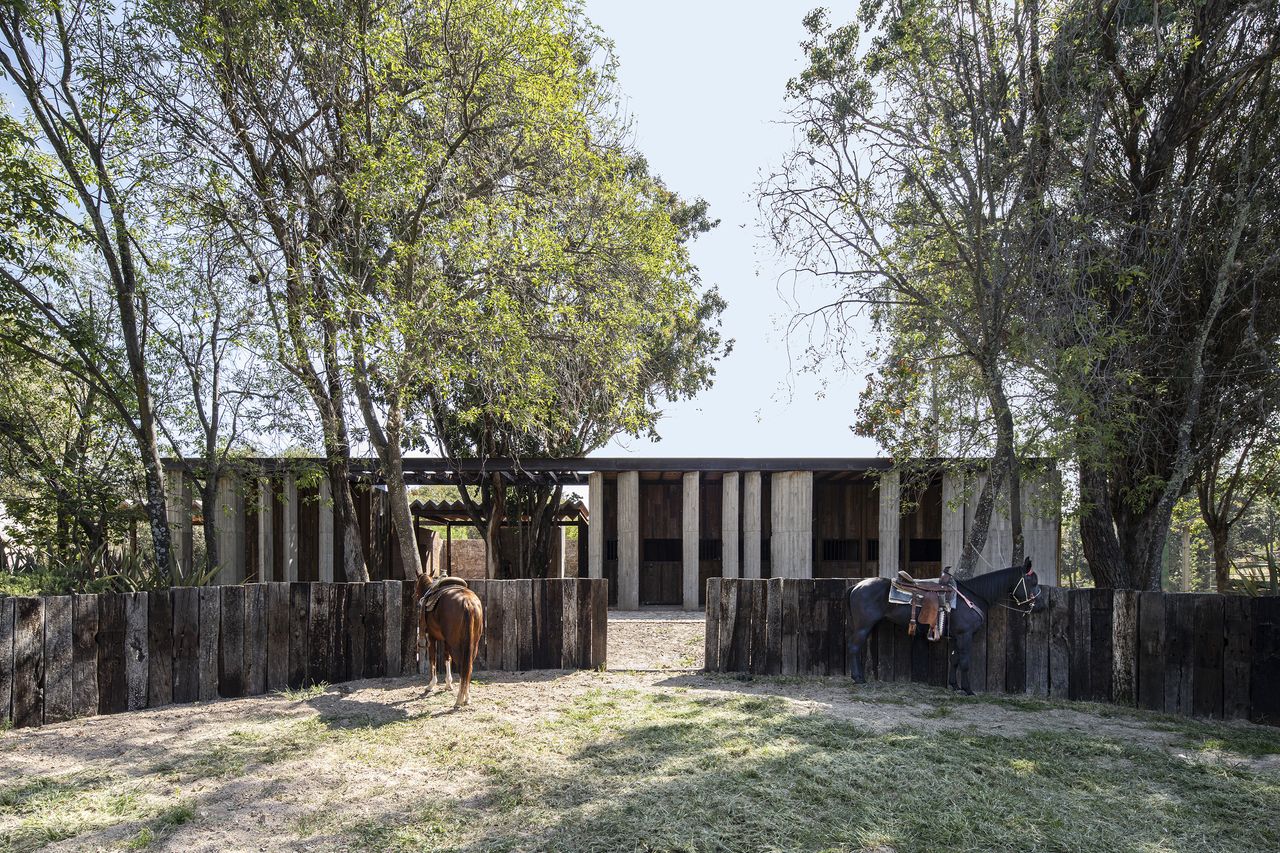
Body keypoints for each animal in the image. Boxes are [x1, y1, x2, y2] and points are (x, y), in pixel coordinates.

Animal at [414, 573, 483, 706]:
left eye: (417, 586)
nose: (415, 596)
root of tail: (467, 602)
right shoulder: (446, 641)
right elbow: (447, 658)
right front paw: (448, 684)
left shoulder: (432, 637)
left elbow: (433, 659)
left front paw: (431, 685)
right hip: (473, 645)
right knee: (469, 668)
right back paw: (467, 697)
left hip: (456, 645)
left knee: (463, 668)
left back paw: (460, 698)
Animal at [844, 558, 1044, 691]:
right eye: (1032, 581)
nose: (1041, 605)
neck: (972, 596)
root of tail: (857, 586)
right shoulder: (965, 635)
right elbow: (965, 662)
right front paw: (968, 690)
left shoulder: (956, 636)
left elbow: (954, 660)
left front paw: (954, 685)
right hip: (863, 626)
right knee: (853, 648)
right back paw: (858, 679)